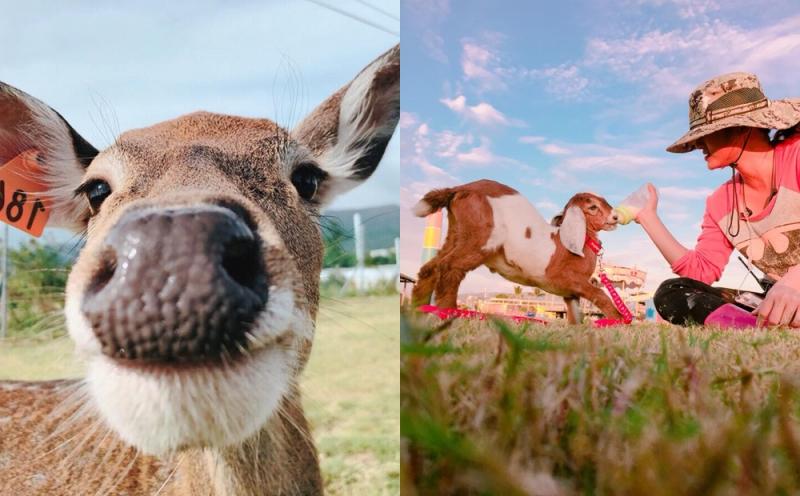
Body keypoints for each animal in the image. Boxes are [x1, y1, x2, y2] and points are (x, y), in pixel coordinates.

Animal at [412, 180, 624, 324]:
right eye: (593, 207)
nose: (616, 217)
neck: (566, 243)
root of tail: (461, 188)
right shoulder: (566, 279)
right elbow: (600, 294)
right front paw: (618, 320)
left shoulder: (569, 293)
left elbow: (575, 317)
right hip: (481, 239)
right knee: (449, 267)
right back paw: (449, 313)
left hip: (457, 233)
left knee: (430, 268)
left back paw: (417, 309)